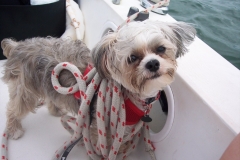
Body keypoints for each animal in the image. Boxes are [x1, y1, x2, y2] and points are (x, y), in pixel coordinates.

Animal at [1, 20, 195, 152]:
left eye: (160, 48)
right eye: (132, 58)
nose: (153, 63)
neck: (131, 94)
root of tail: (16, 46)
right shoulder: (100, 130)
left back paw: (55, 110)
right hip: (25, 90)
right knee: (13, 108)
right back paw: (14, 129)